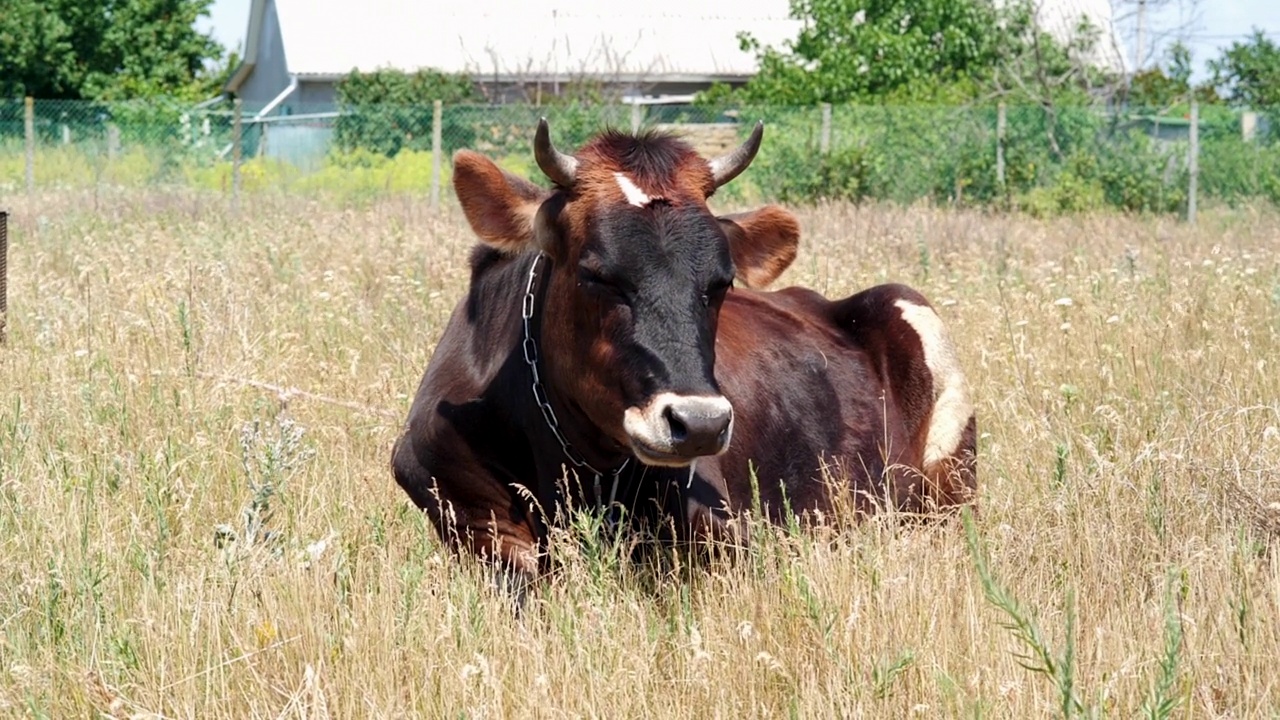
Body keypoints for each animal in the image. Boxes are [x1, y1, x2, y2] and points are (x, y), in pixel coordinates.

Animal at [386, 119, 967, 584]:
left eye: (722, 282)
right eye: (596, 274)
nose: (701, 423)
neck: (575, 463)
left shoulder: (725, 533)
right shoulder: (470, 518)